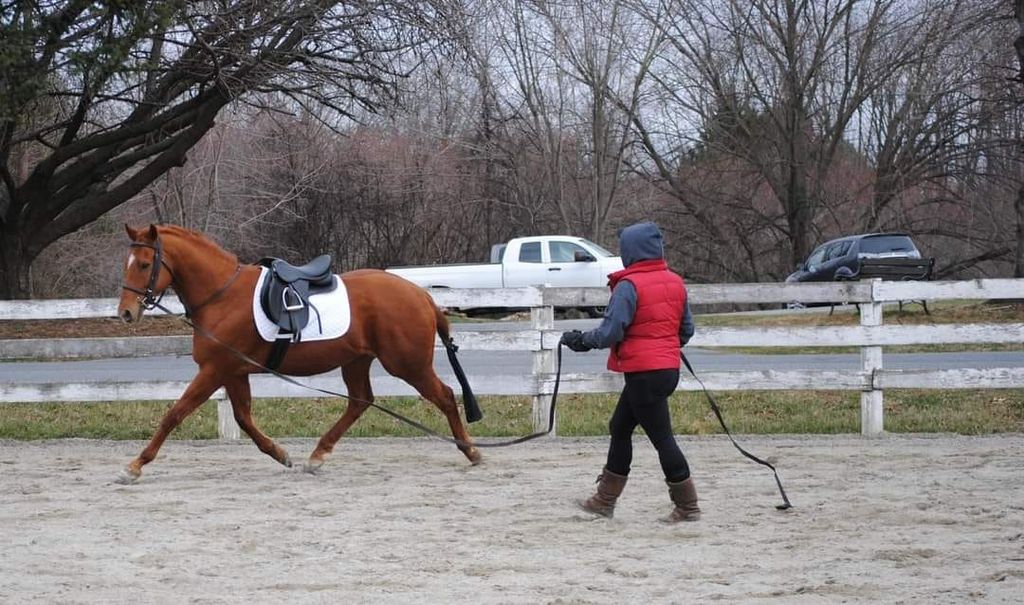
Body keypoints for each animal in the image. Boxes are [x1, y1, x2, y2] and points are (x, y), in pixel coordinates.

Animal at [116, 222, 483, 483]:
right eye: (127, 263)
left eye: (145, 264)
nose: (126, 313)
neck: (222, 295)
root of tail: (421, 295)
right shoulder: (233, 371)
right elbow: (243, 418)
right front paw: (280, 454)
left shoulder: (214, 371)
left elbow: (175, 414)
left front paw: (135, 465)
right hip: (357, 361)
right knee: (360, 401)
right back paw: (317, 456)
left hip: (408, 365)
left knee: (445, 396)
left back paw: (472, 452)